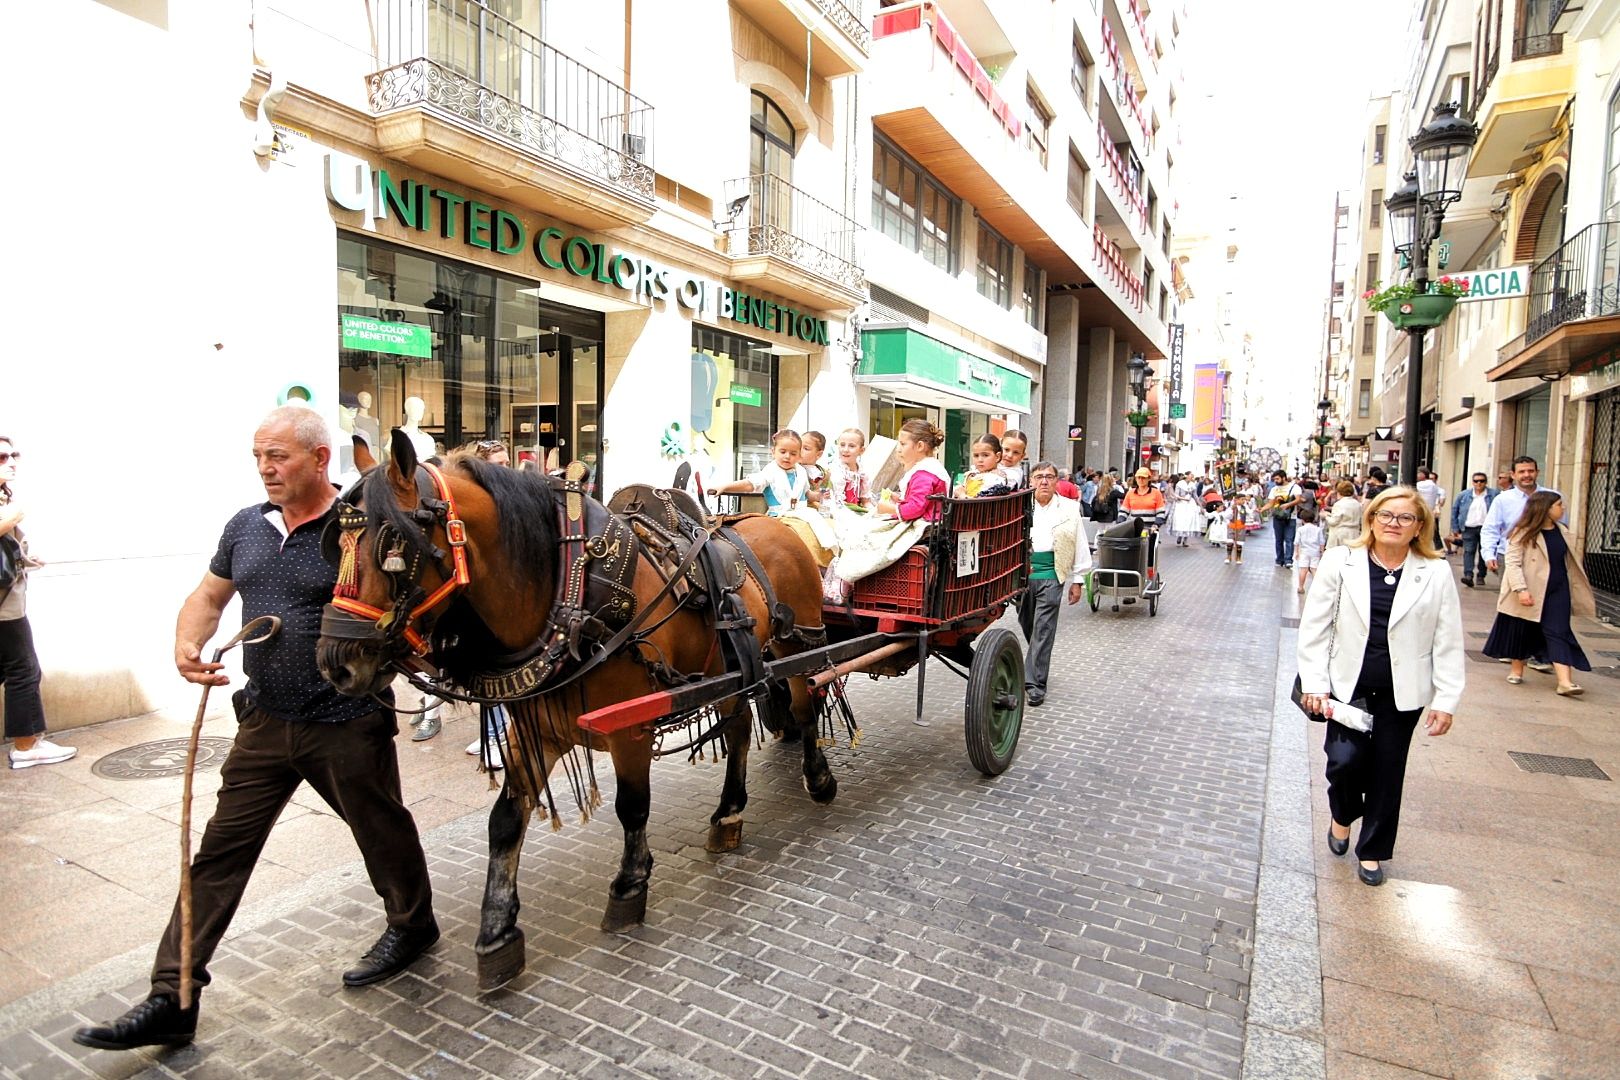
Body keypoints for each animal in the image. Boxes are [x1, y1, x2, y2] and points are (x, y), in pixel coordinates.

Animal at [312, 427, 835, 990]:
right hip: (735, 672)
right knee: (738, 730)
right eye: (334, 544)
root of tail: (773, 523)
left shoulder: (629, 731)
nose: (336, 662)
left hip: (797, 644)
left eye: (394, 545)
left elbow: (633, 806)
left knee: (806, 708)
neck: (571, 596)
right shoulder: (534, 729)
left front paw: (629, 885)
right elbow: (505, 822)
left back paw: (818, 777)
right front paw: (497, 928)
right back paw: (729, 813)